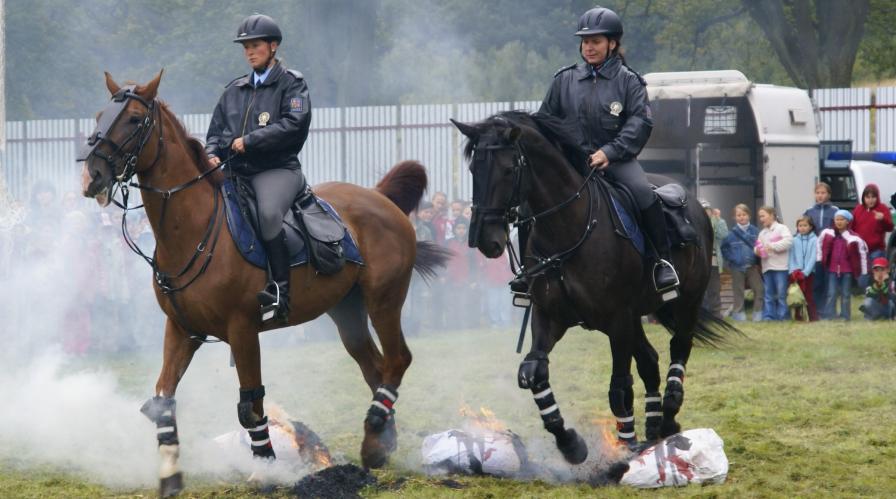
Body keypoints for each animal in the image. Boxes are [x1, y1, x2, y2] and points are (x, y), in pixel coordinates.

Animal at [80, 72, 448, 498]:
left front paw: (266, 471)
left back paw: (375, 437)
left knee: (397, 359)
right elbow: (162, 398)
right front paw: (170, 472)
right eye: (100, 115)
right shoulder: (182, 329)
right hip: (347, 310)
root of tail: (379, 197)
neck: (195, 229)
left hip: (384, 300)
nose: (92, 176)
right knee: (375, 367)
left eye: (135, 119)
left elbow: (250, 404)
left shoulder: (242, 330)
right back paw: (380, 441)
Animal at [452, 111, 732, 466]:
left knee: (677, 350)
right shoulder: (550, 318)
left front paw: (625, 447)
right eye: (475, 170)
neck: (569, 228)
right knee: (650, 361)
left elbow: (619, 388)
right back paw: (653, 427)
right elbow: (533, 373)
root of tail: (694, 203)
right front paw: (570, 443)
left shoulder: (617, 320)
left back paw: (667, 418)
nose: (484, 240)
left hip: (684, 305)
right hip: (635, 318)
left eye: (507, 169)